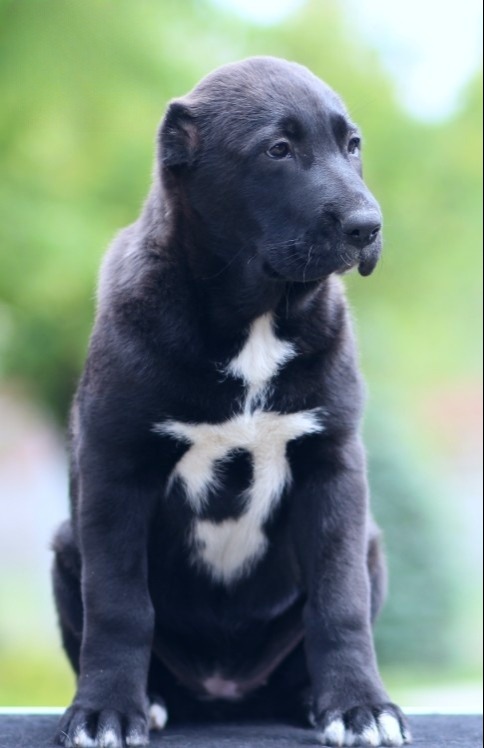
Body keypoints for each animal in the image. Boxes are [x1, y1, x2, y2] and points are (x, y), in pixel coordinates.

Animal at [52, 57, 411, 747]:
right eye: (278, 150)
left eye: (352, 146)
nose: (368, 227)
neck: (258, 318)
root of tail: (225, 693)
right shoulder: (116, 467)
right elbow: (118, 603)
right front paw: (106, 712)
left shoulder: (332, 465)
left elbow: (341, 599)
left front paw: (361, 707)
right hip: (64, 544)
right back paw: (151, 701)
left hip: (372, 544)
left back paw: (311, 699)